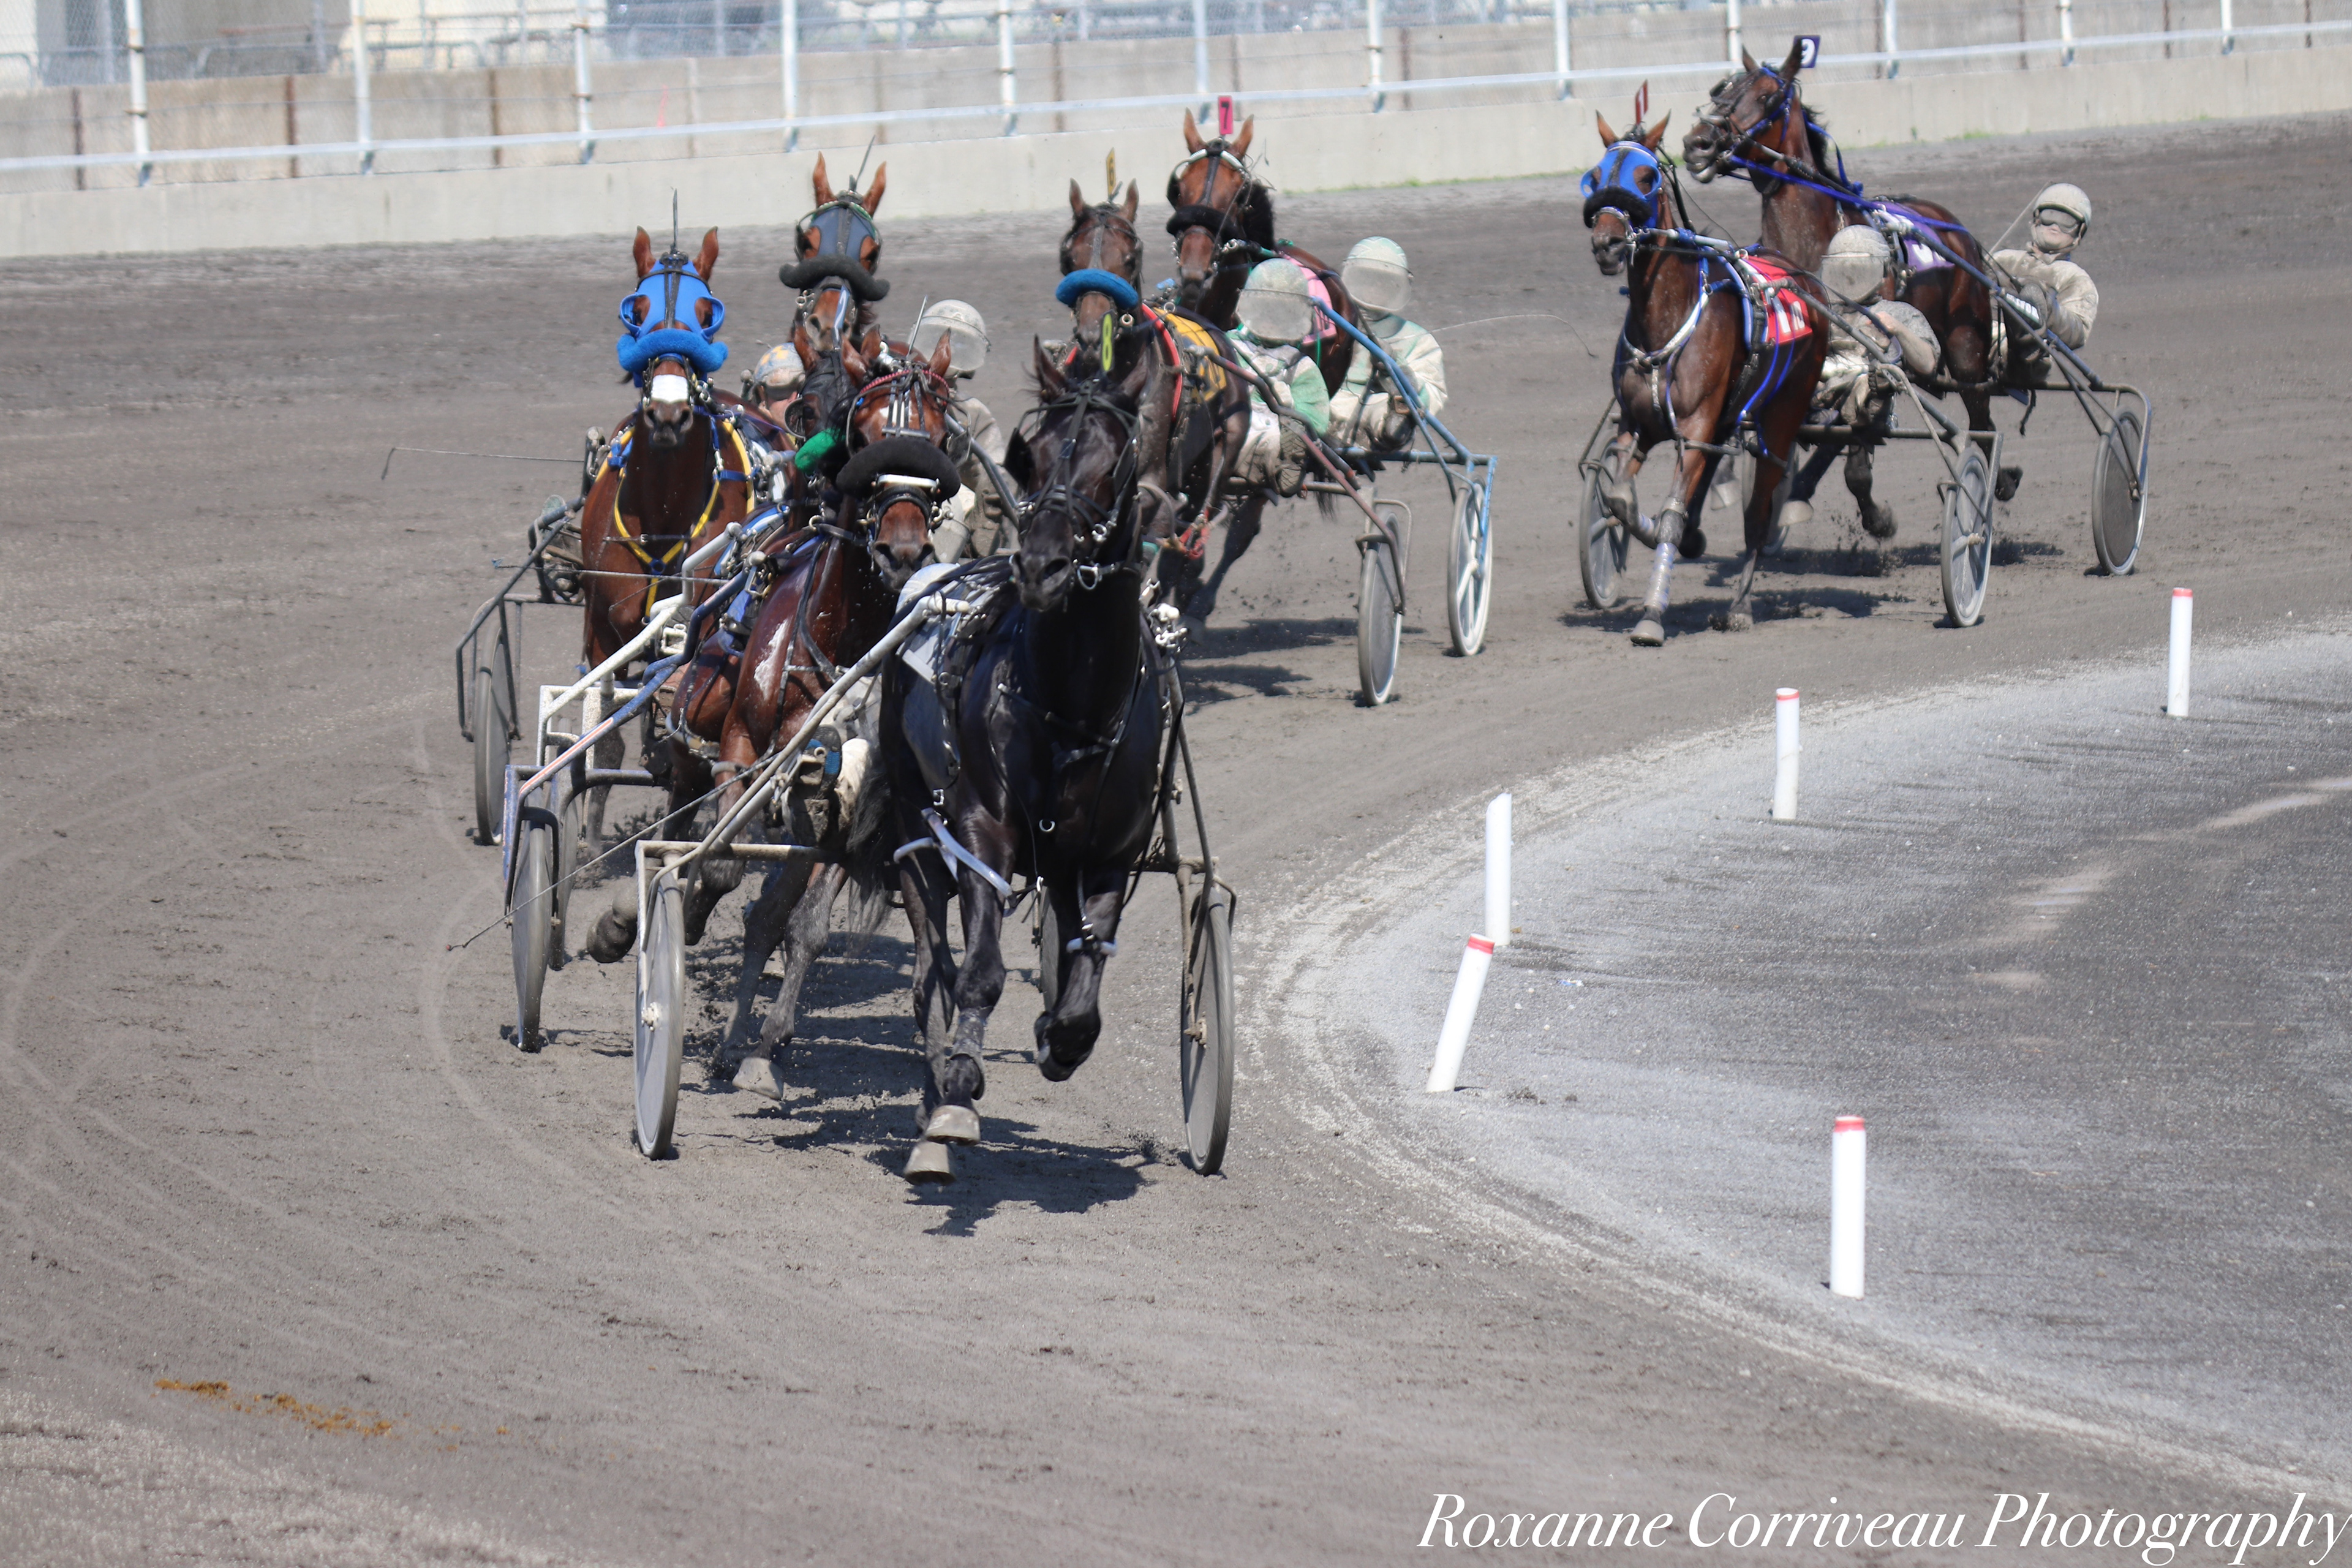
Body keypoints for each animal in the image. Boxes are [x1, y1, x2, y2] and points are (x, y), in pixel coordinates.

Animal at [576, 224, 754, 848]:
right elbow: (603, 730)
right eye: (639, 311)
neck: (665, 509)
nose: (670, 415)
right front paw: (588, 832)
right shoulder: (602, 627)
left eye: (706, 314)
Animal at [880, 340, 1174, 1180]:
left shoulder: (1110, 852)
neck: (1073, 706)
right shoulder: (984, 830)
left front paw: (1057, 1037)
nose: (1041, 565)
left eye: (1117, 462)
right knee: (932, 967)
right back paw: (936, 1087)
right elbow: (977, 972)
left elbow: (1084, 987)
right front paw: (958, 1089)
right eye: (1030, 455)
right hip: (912, 821)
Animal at [1585, 107, 1829, 643]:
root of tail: (1801, 277)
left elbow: (1674, 511)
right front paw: (1647, 530)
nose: (1607, 243)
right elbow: (1619, 497)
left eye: (1646, 177)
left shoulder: (1696, 425)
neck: (1667, 318)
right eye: (1594, 176)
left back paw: (1740, 604)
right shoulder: (1637, 423)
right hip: (1727, 415)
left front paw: (1652, 615)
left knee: (1760, 510)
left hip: (1783, 414)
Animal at [1681, 42, 2000, 530]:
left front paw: (1873, 513)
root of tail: (1955, 228)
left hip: (1967, 350)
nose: (1698, 142)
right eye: (1721, 91)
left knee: (1981, 424)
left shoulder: (1868, 350)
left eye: (1769, 98)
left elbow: (1855, 435)